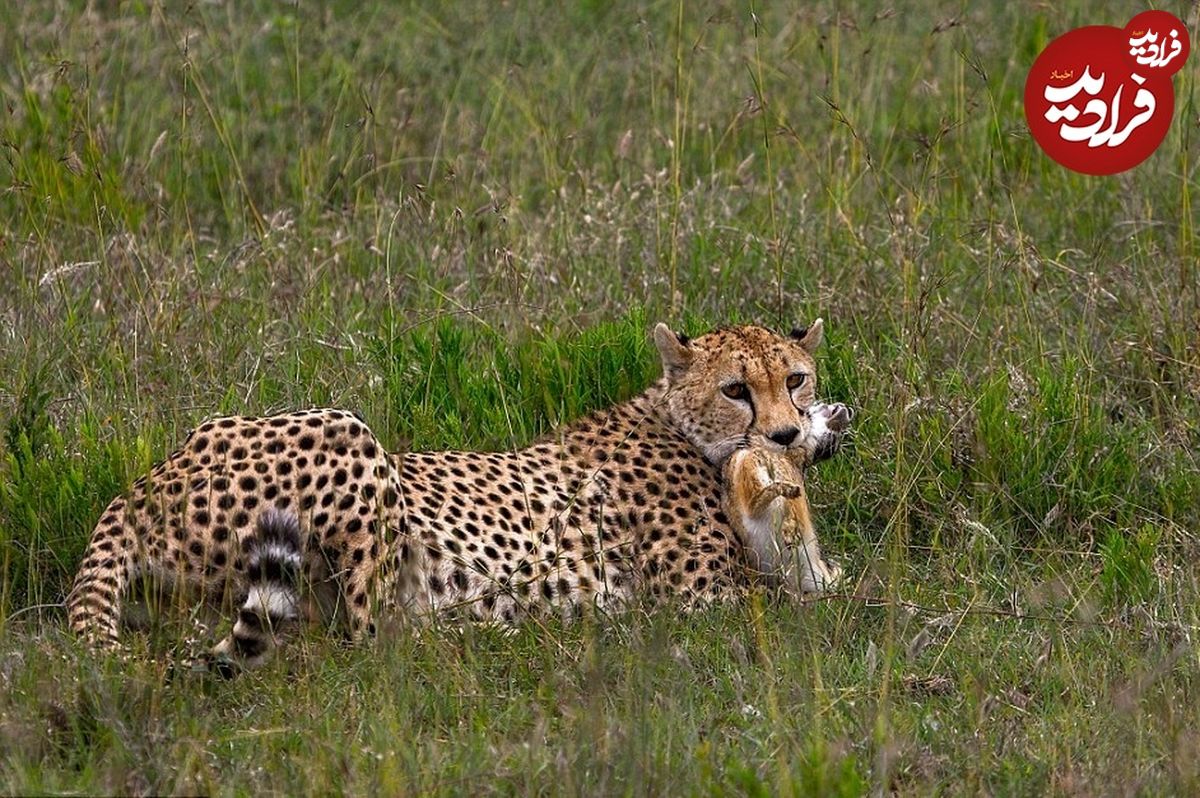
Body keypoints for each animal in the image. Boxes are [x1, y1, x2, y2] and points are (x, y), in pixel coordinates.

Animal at [68, 316, 854, 667]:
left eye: (794, 378)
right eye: (735, 389)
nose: (786, 432)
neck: (679, 425)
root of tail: (142, 483)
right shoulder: (700, 604)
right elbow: (796, 605)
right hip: (349, 438)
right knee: (373, 642)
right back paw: (508, 633)